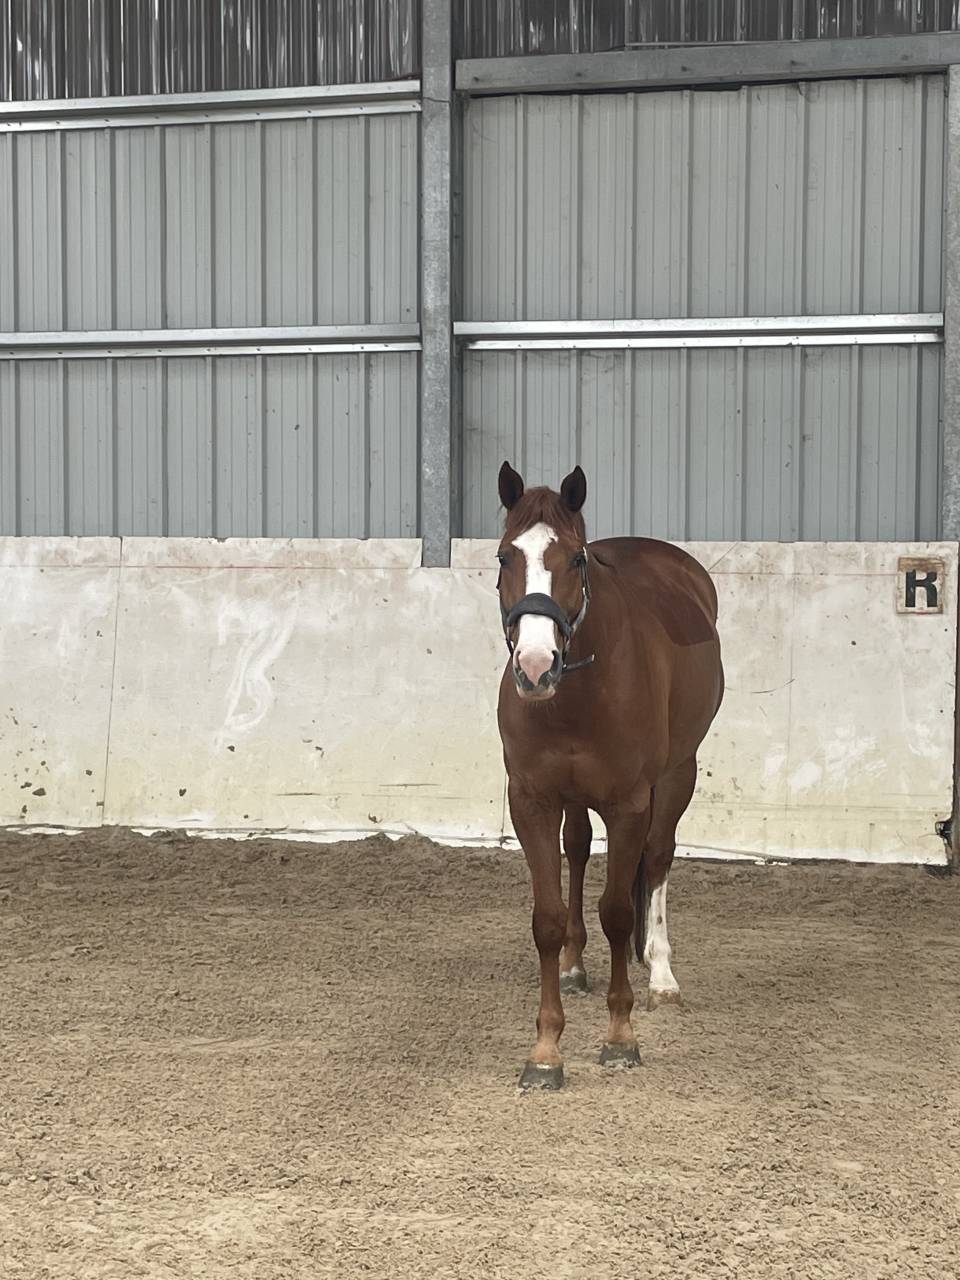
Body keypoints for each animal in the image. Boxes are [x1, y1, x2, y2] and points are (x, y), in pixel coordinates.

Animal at [495, 462, 724, 1090]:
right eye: (504, 557)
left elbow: (620, 913)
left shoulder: (629, 803)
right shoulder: (533, 802)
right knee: (577, 850)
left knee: (660, 856)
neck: (577, 693)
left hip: (677, 776)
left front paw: (620, 1036)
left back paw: (661, 974)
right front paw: (546, 1048)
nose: (535, 667)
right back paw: (576, 965)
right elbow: (548, 919)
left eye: (576, 559)